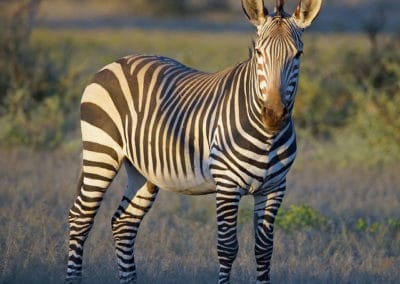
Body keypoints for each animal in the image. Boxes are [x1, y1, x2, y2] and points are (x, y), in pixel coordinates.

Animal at [65, 0, 322, 284]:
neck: (267, 138)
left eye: (298, 54)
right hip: (101, 153)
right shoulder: (227, 185)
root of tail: (117, 62)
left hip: (142, 169)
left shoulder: (275, 188)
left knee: (124, 223)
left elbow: (264, 250)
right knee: (81, 218)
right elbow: (227, 247)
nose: (274, 115)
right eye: (258, 52)